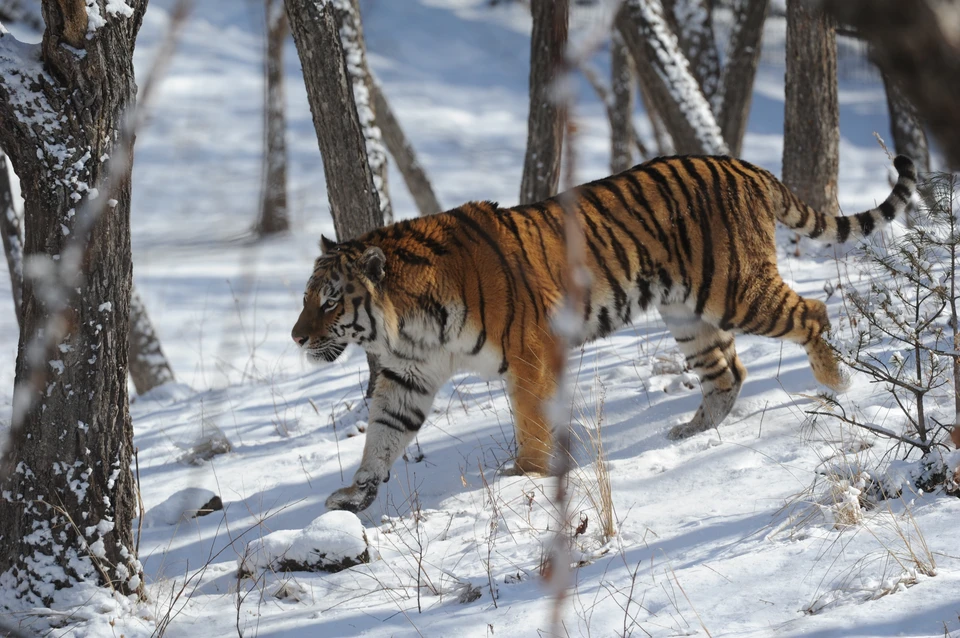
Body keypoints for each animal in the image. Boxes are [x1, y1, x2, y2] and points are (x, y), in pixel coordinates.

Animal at [290, 155, 916, 516]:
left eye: (329, 300)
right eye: (305, 297)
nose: (296, 337)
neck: (408, 326)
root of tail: (747, 167)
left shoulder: (529, 351)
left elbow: (530, 419)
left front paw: (525, 475)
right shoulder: (408, 377)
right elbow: (382, 436)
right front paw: (355, 494)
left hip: (737, 292)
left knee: (813, 311)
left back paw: (838, 381)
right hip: (688, 313)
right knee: (728, 372)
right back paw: (689, 432)